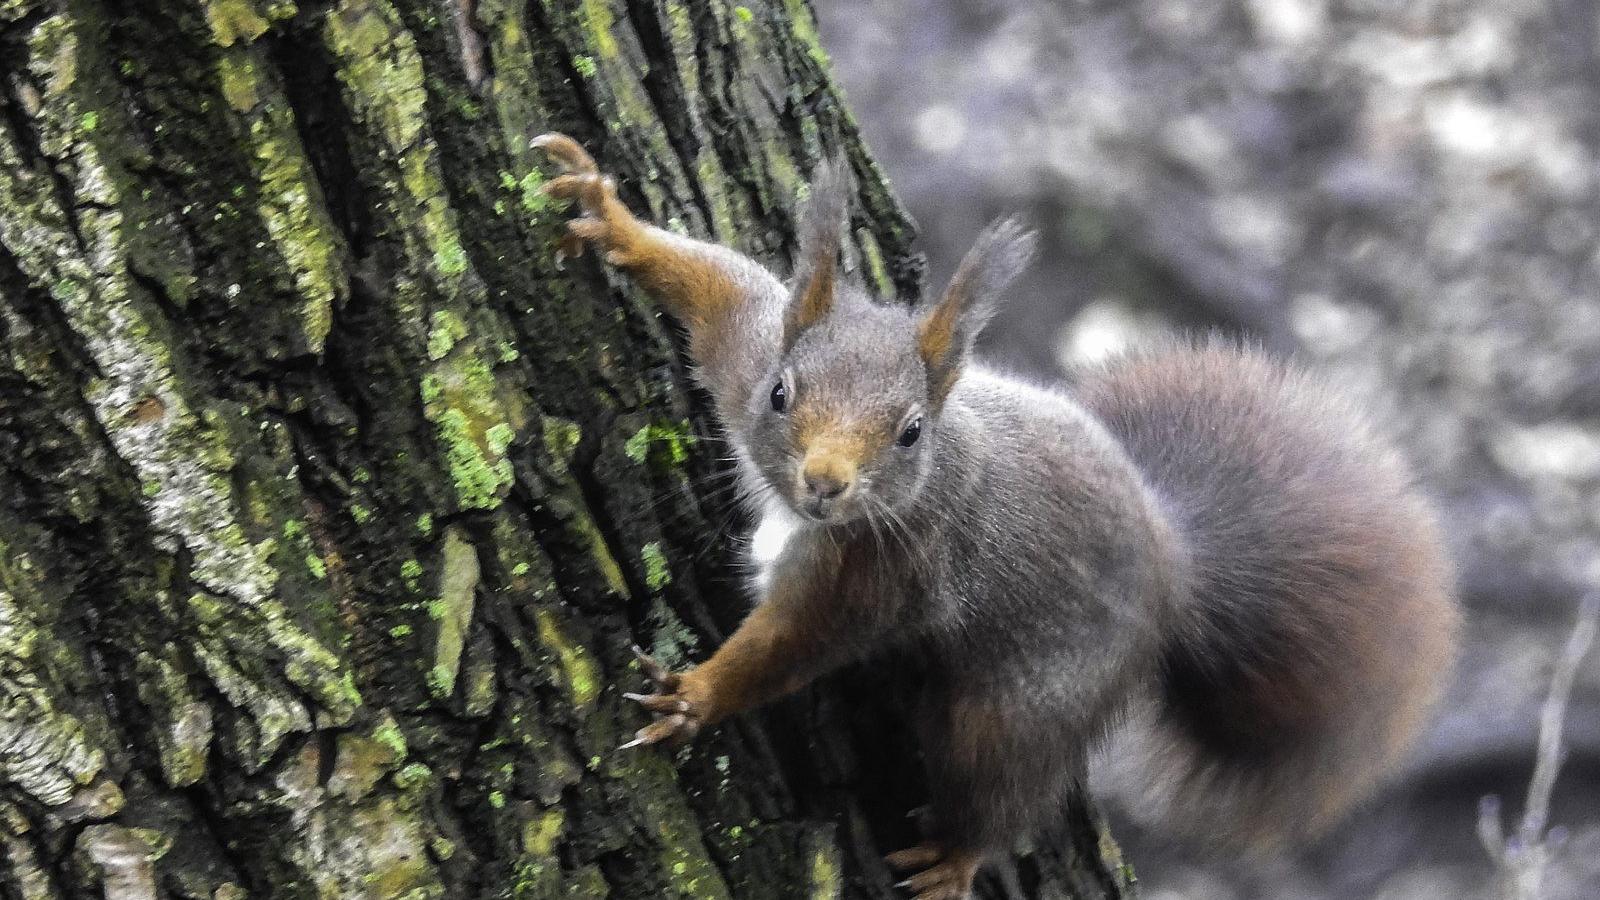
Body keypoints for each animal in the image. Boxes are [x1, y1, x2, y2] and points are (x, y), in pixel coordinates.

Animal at [531, 132, 1459, 896]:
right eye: (781, 393)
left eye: (910, 432)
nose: (825, 481)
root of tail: (1175, 568)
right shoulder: (748, 346)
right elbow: (717, 284)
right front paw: (609, 215)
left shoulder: (883, 574)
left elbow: (789, 649)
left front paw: (695, 697)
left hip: (1019, 706)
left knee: (1006, 790)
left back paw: (958, 857)